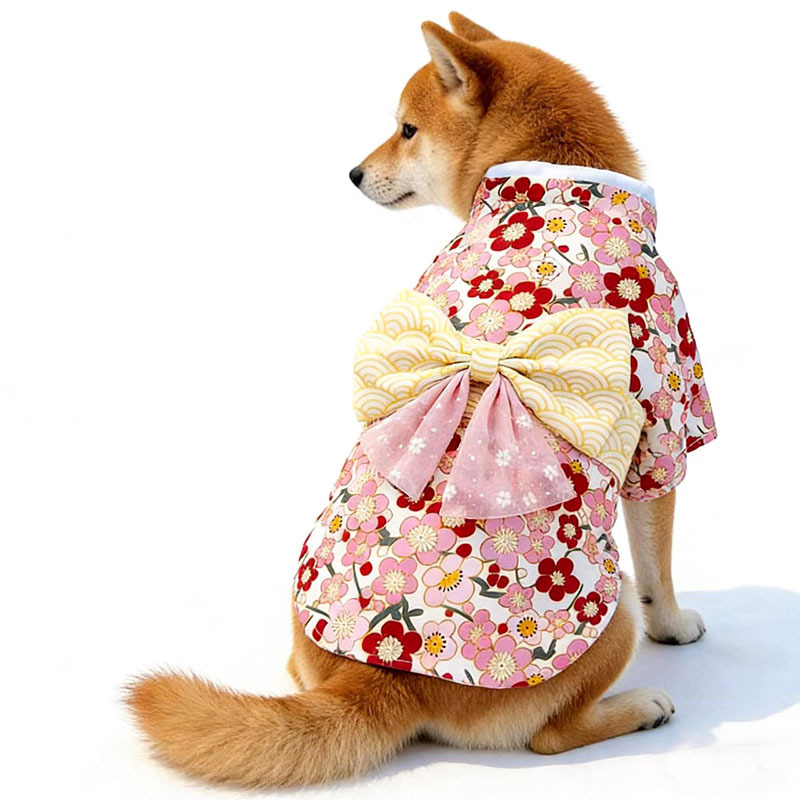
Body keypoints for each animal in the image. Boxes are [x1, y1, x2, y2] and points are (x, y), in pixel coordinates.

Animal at [128, 12, 717, 788]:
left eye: (406, 129)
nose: (351, 173)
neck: (551, 182)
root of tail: (379, 675)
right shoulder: (664, 428)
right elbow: (659, 565)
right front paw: (675, 628)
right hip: (607, 612)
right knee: (551, 737)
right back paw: (639, 706)